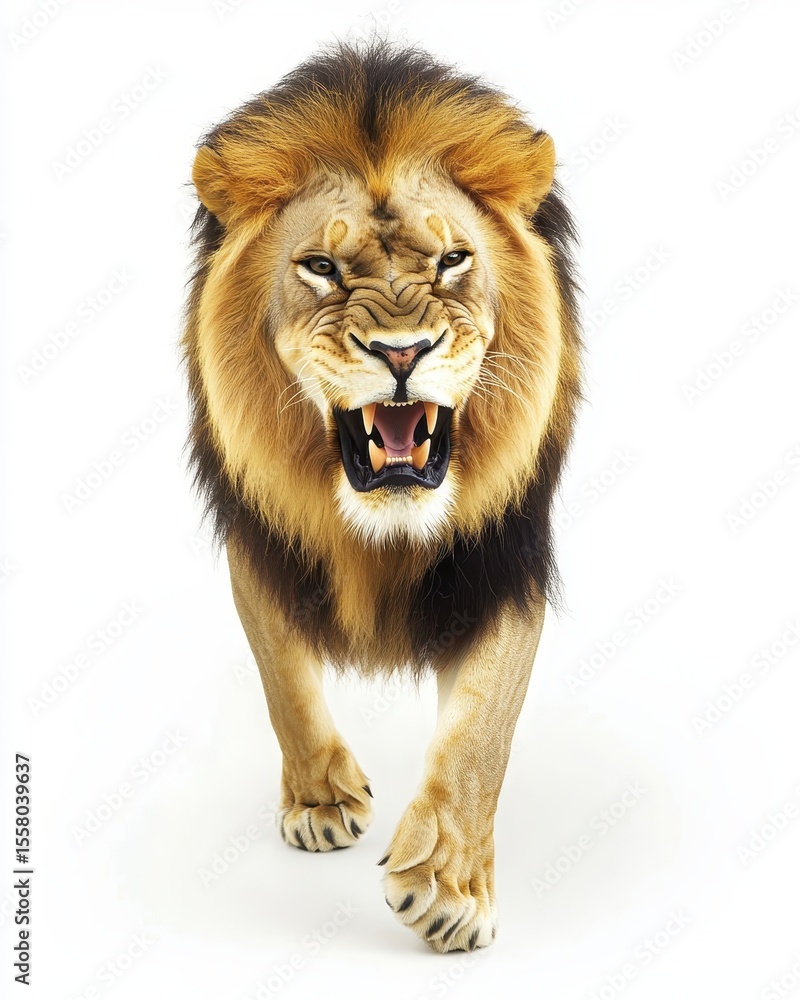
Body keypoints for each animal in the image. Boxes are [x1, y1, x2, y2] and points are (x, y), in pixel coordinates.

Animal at [183, 42, 582, 953]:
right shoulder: (258, 538)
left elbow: (481, 731)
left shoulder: (504, 559)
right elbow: (283, 675)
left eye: (452, 261)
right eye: (322, 267)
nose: (403, 352)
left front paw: (448, 887)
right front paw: (322, 800)